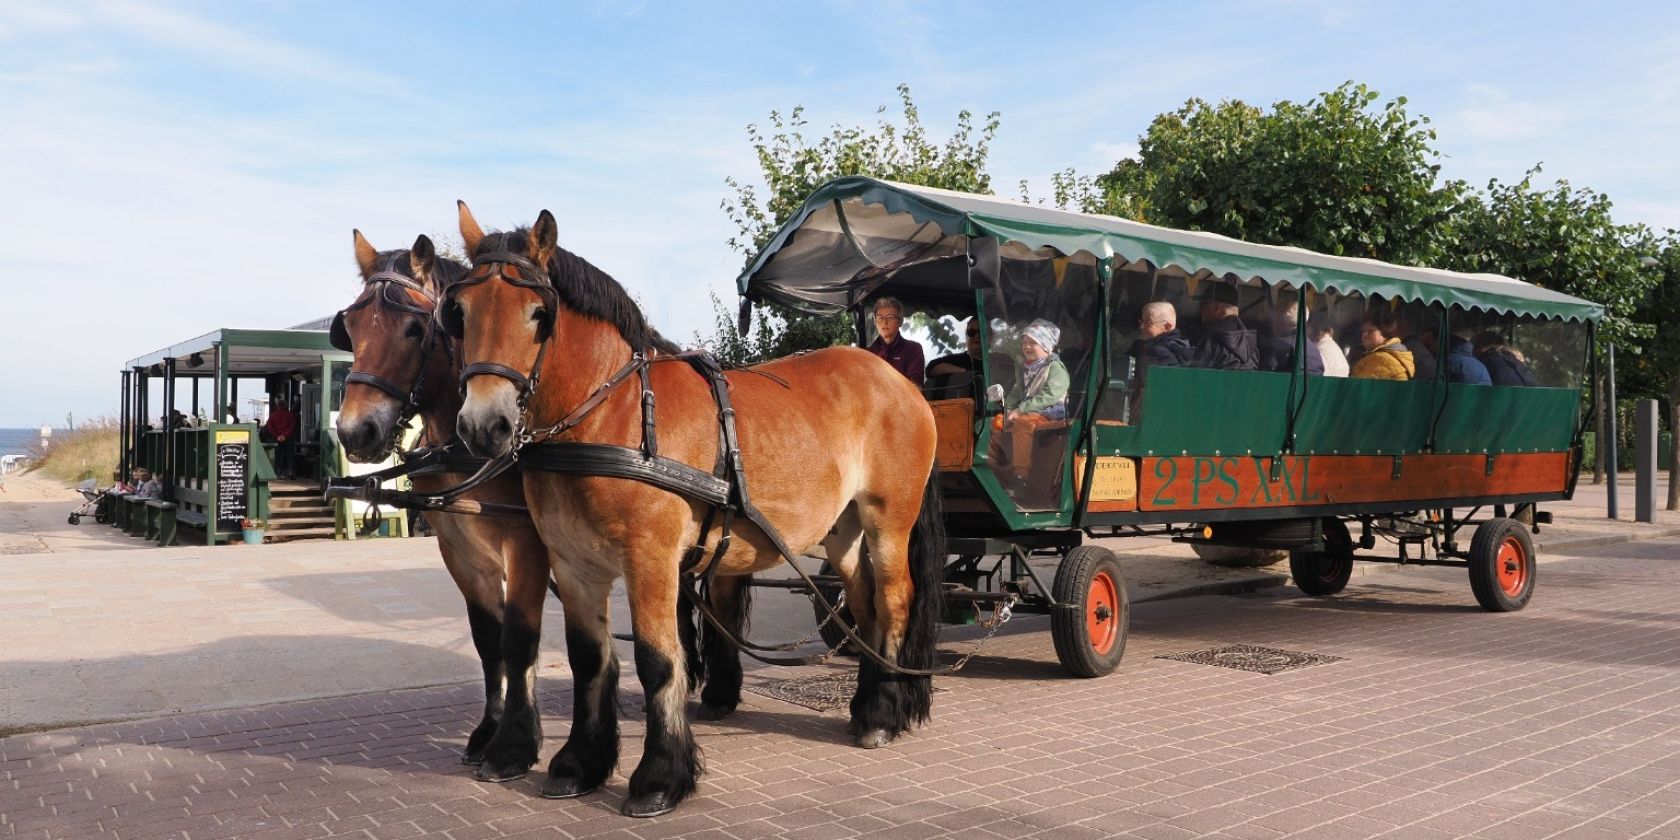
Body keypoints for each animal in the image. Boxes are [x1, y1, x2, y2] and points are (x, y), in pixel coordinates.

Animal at [332, 228, 551, 772]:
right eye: (350, 327)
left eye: (415, 328)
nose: (355, 432)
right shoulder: (460, 547)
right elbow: (489, 639)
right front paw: (491, 730)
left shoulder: (528, 543)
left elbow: (521, 638)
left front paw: (518, 743)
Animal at [446, 206, 947, 816]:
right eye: (460, 312)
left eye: (539, 314)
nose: (481, 426)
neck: (612, 413)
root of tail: (897, 381)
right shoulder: (573, 564)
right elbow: (589, 658)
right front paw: (580, 764)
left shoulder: (651, 560)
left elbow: (660, 660)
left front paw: (660, 777)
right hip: (842, 533)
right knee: (865, 605)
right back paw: (867, 705)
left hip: (887, 519)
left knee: (895, 603)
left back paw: (883, 714)